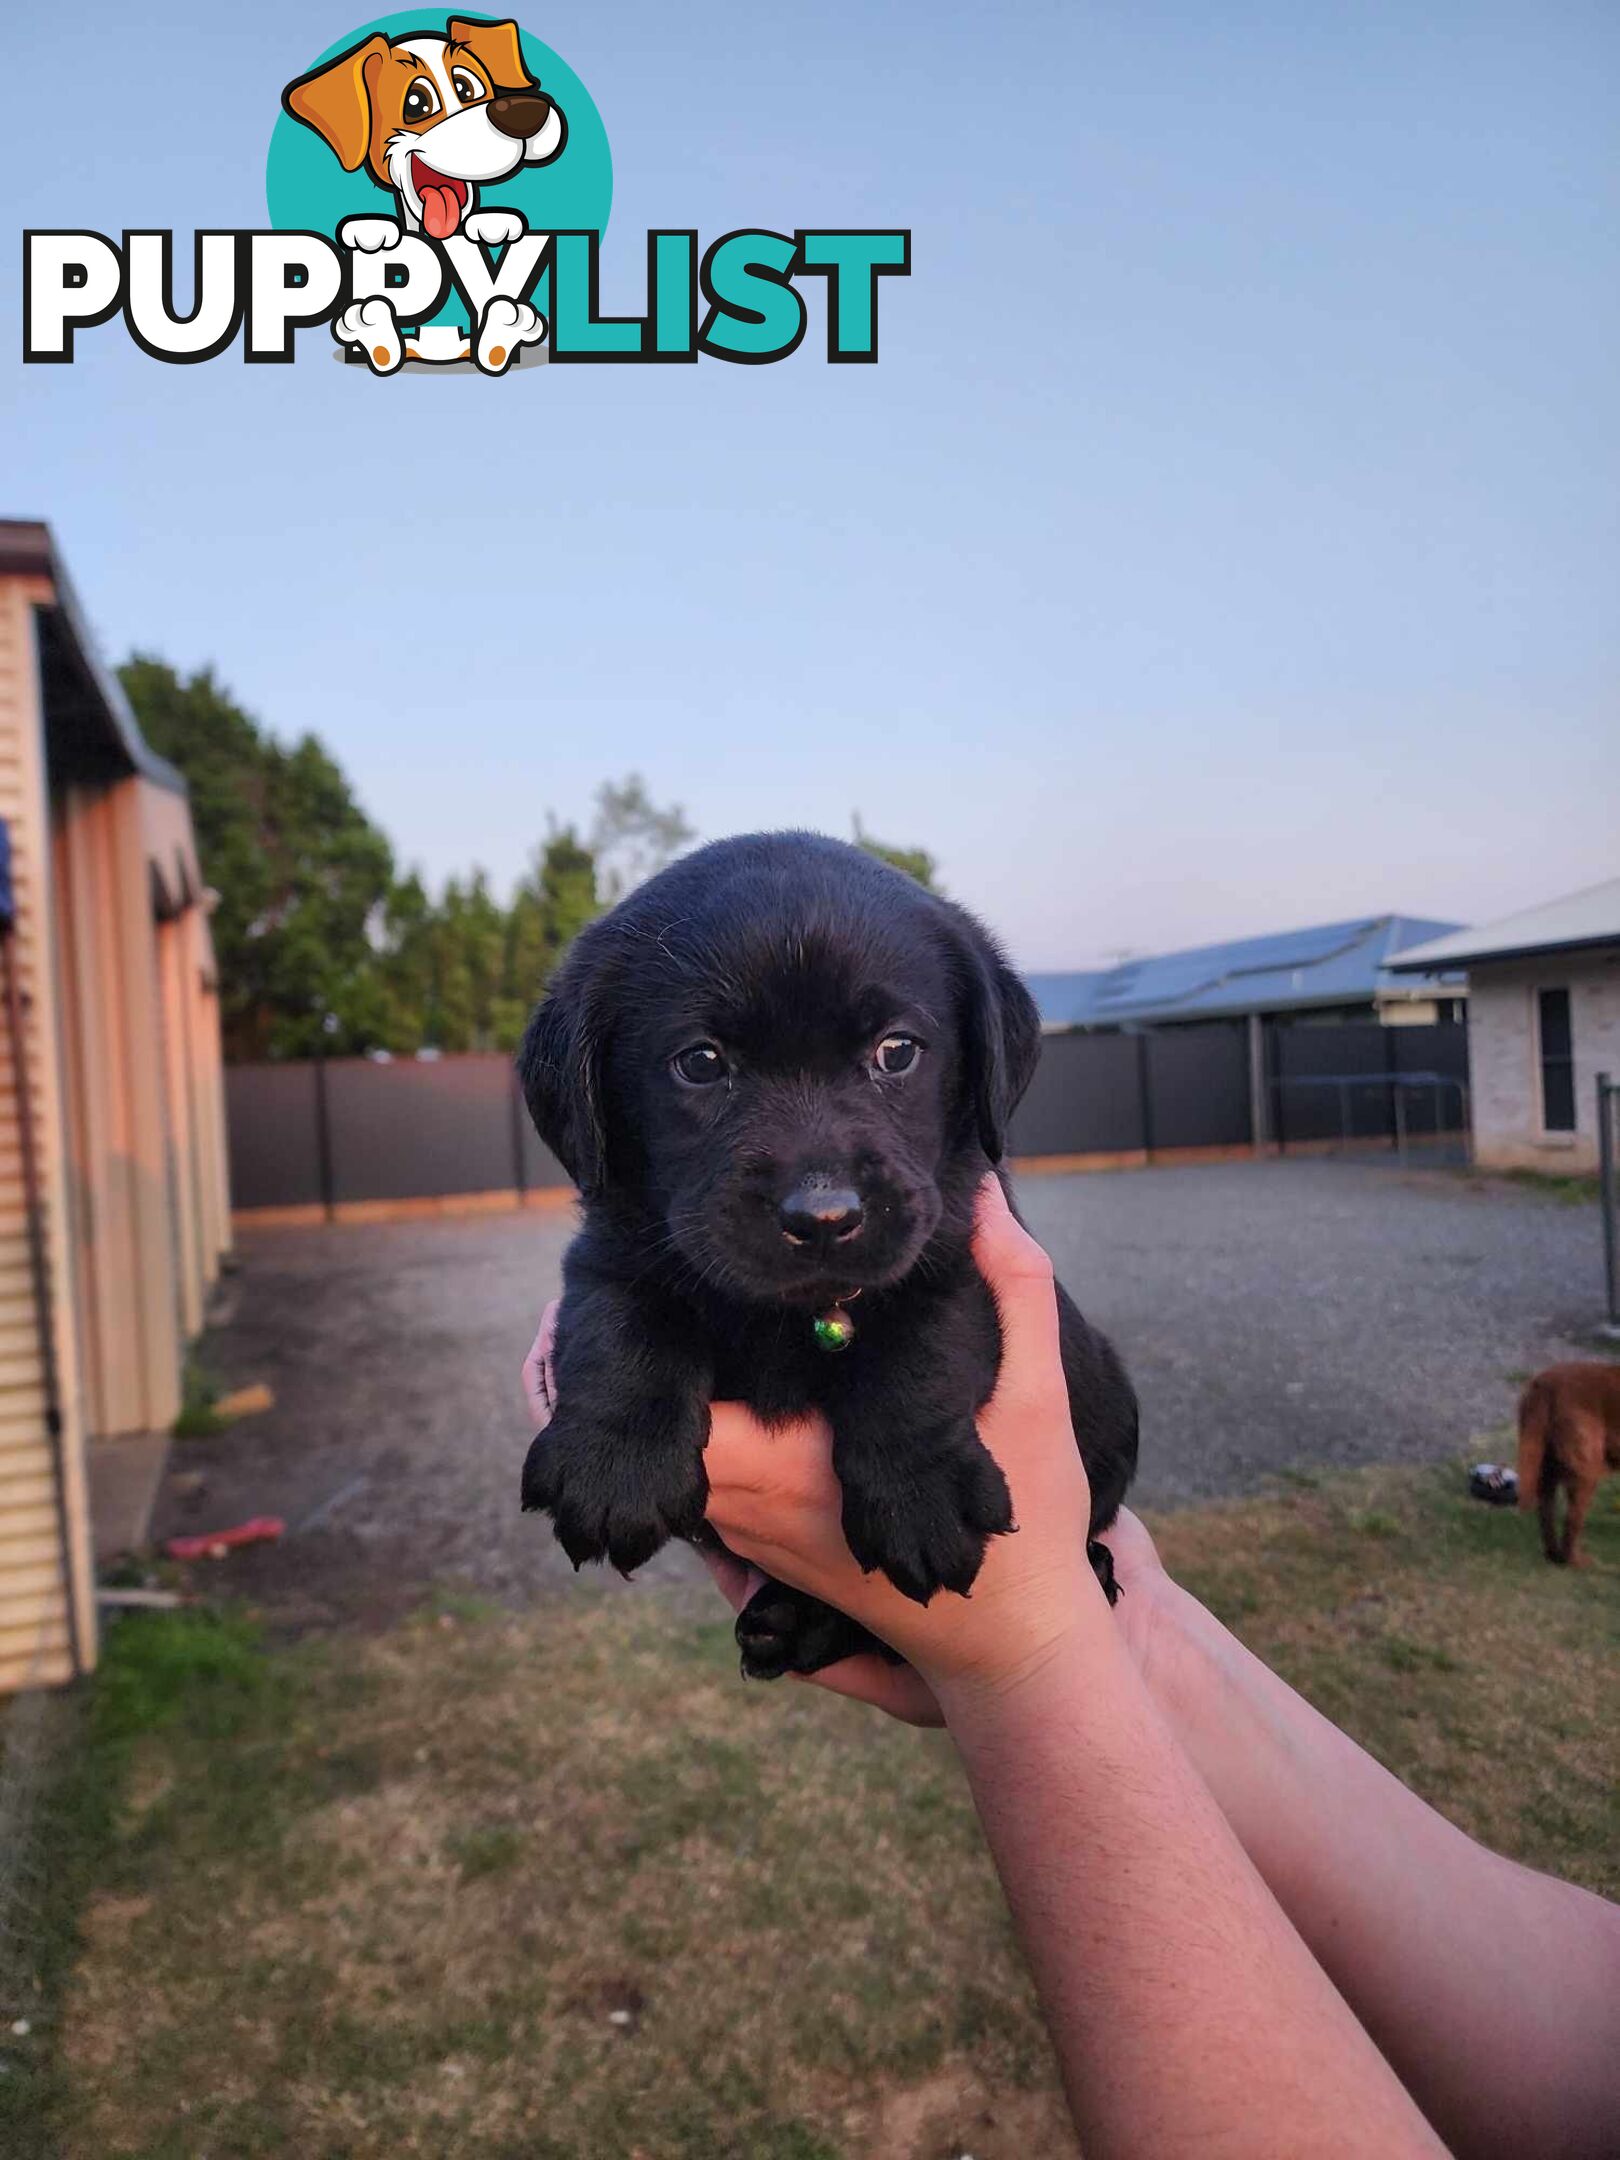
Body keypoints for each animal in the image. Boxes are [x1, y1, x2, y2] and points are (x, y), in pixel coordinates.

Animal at [520, 833, 1140, 1676]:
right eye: (701, 1062)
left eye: (897, 1052)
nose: (823, 1217)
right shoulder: (611, 1246)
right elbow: (618, 1318)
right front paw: (614, 1462)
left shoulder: (952, 1247)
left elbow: (922, 1346)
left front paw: (921, 1491)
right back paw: (793, 1621)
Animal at [1520, 1365, 1620, 1572]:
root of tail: (1544, 1385)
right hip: (1586, 1467)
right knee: (1572, 1518)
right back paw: (1575, 1561)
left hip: (1547, 1465)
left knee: (1546, 1511)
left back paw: (1553, 1555)